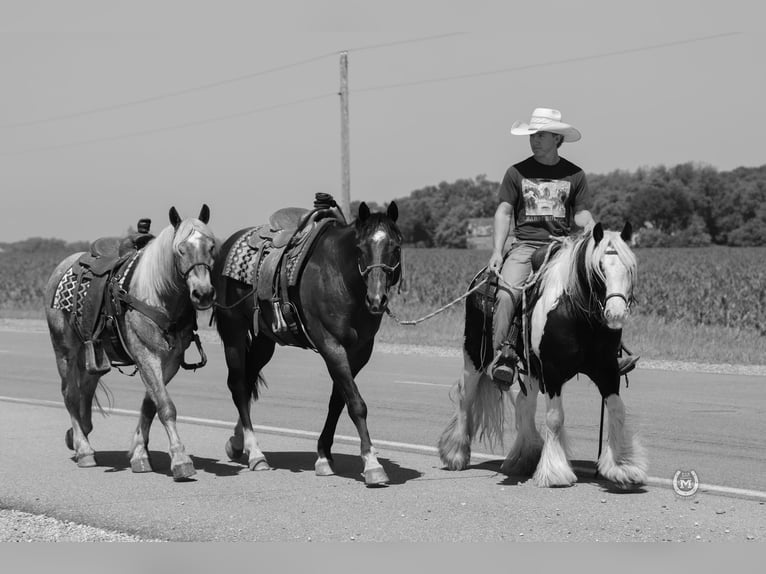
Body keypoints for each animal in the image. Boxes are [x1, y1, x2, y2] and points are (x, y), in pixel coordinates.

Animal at [45, 206, 216, 482]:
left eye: (211, 246)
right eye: (180, 249)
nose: (203, 294)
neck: (156, 296)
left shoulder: (170, 361)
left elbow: (150, 405)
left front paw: (139, 454)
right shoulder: (146, 355)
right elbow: (166, 406)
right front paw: (180, 459)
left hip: (94, 356)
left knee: (85, 390)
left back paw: (79, 435)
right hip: (64, 350)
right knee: (70, 394)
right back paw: (83, 449)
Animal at [210, 201, 402, 486]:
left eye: (396, 246)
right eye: (361, 248)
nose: (377, 299)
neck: (341, 278)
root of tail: (225, 246)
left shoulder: (359, 352)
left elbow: (339, 401)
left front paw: (324, 456)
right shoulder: (331, 346)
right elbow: (356, 403)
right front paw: (371, 463)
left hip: (264, 341)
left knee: (247, 380)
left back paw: (237, 443)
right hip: (233, 330)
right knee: (238, 386)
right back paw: (255, 453)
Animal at [438, 223, 648, 488]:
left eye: (629, 269)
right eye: (599, 269)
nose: (616, 314)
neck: (576, 315)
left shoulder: (606, 369)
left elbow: (617, 411)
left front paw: (623, 467)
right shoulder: (552, 371)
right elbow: (555, 418)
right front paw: (556, 473)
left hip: (530, 369)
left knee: (523, 404)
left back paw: (523, 458)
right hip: (475, 354)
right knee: (466, 395)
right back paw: (455, 453)